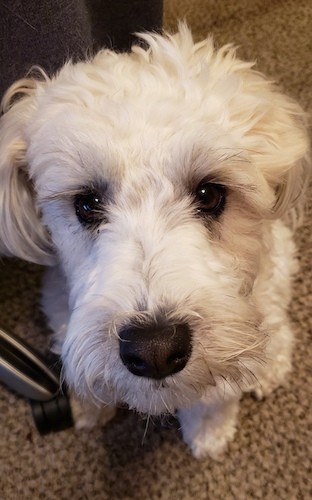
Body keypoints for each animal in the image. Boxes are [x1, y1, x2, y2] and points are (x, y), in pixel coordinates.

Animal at [0, 25, 310, 458]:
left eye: (210, 194)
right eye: (86, 203)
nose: (155, 350)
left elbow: (214, 398)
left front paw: (209, 435)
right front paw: (88, 406)